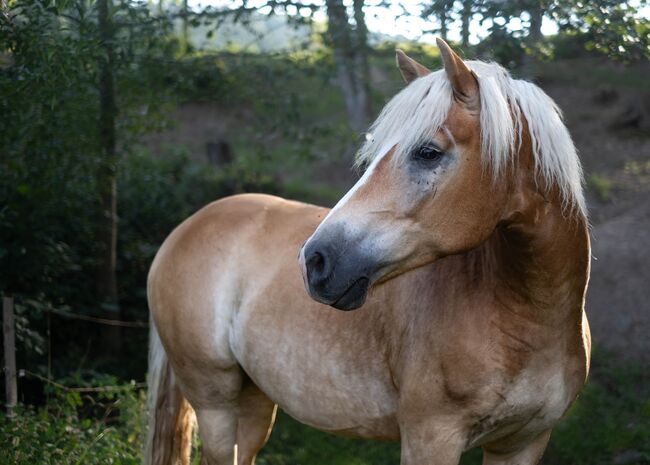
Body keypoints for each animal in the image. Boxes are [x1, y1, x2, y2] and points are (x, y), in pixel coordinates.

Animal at [144, 39, 588, 464]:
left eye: (428, 152)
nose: (314, 261)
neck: (527, 321)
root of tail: (185, 228)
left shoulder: (522, 443)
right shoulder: (430, 439)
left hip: (254, 400)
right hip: (214, 402)